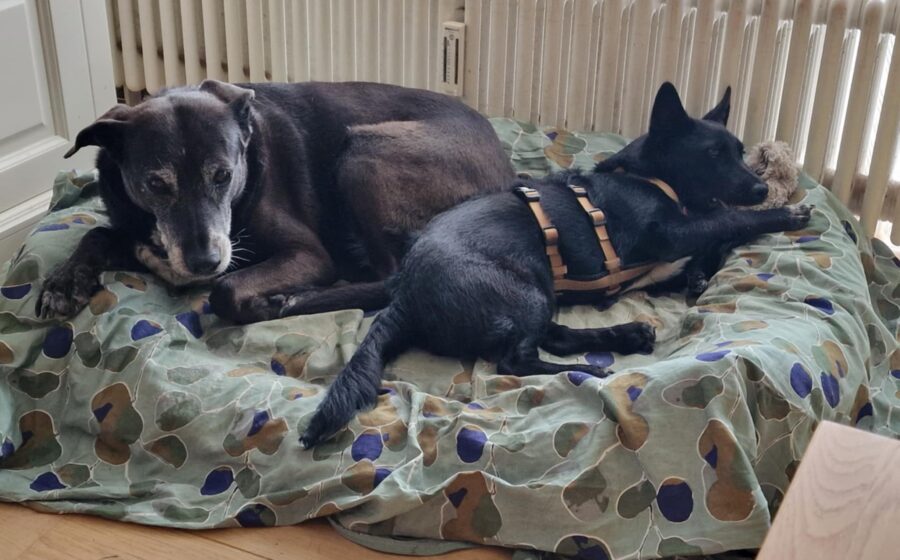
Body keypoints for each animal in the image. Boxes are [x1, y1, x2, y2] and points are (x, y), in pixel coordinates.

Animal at [37, 80, 515, 323]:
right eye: (156, 184)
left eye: (223, 175)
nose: (204, 262)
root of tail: (508, 174)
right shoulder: (135, 227)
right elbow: (97, 234)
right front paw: (63, 282)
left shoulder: (308, 254)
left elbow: (227, 288)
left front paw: (257, 298)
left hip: (363, 155)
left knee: (391, 278)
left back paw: (290, 300)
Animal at [300, 82, 813, 447]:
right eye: (711, 155)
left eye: (740, 151)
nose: (761, 189)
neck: (651, 178)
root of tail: (403, 292)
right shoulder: (668, 232)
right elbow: (725, 221)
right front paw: (783, 215)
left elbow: (714, 238)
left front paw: (704, 270)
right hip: (526, 289)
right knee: (518, 359)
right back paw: (592, 371)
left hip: (539, 294)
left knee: (554, 335)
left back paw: (624, 336)